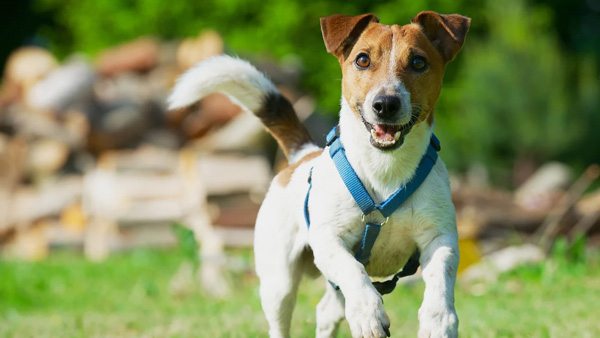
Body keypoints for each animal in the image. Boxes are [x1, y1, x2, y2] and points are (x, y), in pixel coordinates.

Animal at [168, 10, 468, 338]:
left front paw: (438, 319)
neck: (385, 169)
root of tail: (302, 153)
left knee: (326, 311)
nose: (385, 104)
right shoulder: (328, 241)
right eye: (362, 60)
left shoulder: (440, 238)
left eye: (418, 62)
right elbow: (353, 271)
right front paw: (368, 314)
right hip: (279, 283)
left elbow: (440, 277)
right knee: (285, 315)